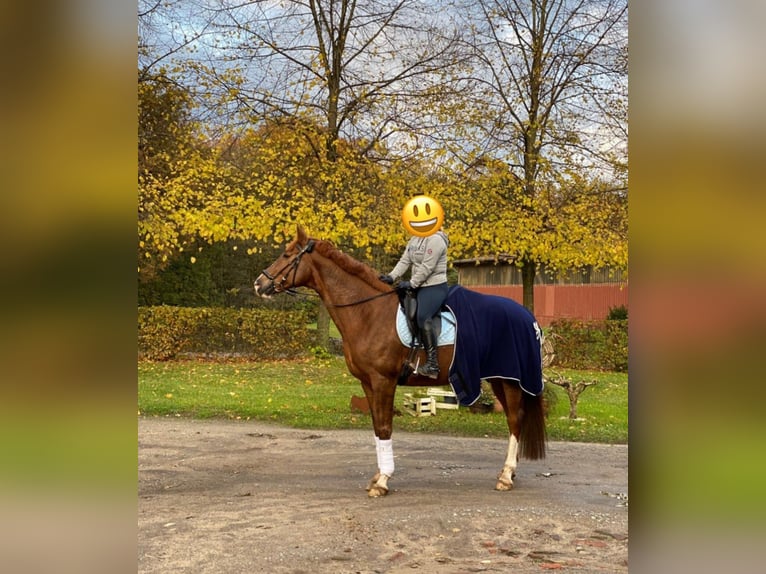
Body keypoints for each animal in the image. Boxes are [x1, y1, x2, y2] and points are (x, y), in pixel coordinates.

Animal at [256, 227, 544, 498]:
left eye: (287, 255)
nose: (259, 284)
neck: (368, 313)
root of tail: (526, 316)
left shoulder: (383, 381)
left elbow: (385, 427)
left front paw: (383, 481)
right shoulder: (368, 383)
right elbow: (376, 427)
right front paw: (377, 476)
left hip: (509, 379)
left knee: (515, 420)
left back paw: (506, 476)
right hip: (498, 378)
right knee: (513, 418)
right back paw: (509, 472)